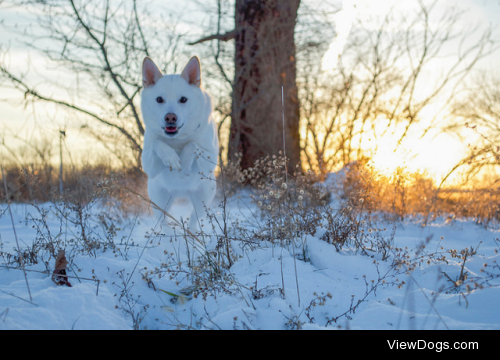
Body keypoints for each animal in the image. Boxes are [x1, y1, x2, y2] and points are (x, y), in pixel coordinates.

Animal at [142, 57, 218, 231]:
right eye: (159, 99)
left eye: (183, 99)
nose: (170, 117)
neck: (176, 139)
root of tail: (181, 193)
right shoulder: (149, 166)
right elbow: (157, 142)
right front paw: (171, 158)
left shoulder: (210, 158)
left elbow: (192, 144)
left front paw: (183, 163)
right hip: (159, 199)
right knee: (164, 220)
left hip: (203, 196)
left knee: (194, 220)